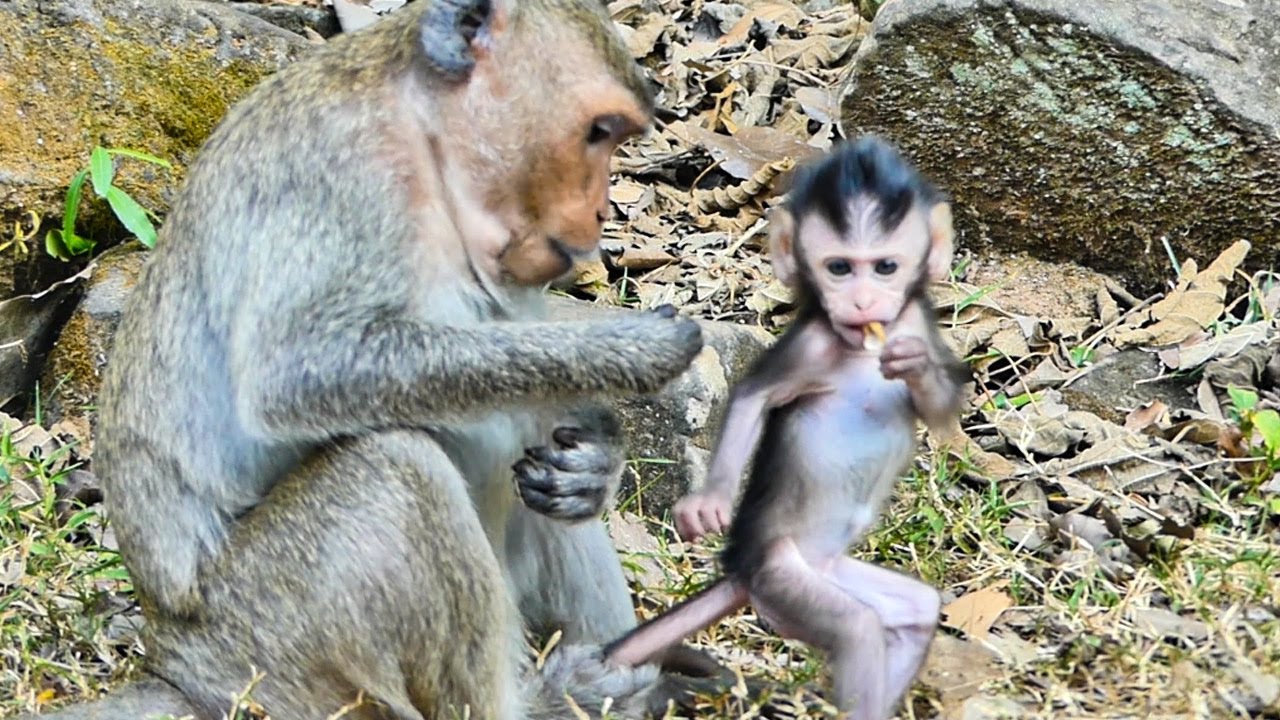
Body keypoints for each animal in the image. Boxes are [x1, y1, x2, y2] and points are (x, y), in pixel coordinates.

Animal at [20, 0, 727, 718]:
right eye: (598, 132)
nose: (601, 210)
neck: (427, 145)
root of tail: (172, 663)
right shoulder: (338, 174)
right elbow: (298, 375)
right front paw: (624, 352)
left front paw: (596, 455)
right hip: (266, 637)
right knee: (393, 465)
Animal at [602, 137, 971, 720]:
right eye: (839, 268)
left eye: (885, 267)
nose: (863, 302)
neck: (857, 352)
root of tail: (744, 572)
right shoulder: (809, 349)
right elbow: (751, 399)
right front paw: (709, 502)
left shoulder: (916, 322)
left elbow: (943, 413)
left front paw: (913, 367)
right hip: (782, 576)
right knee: (857, 627)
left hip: (833, 572)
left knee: (915, 610)